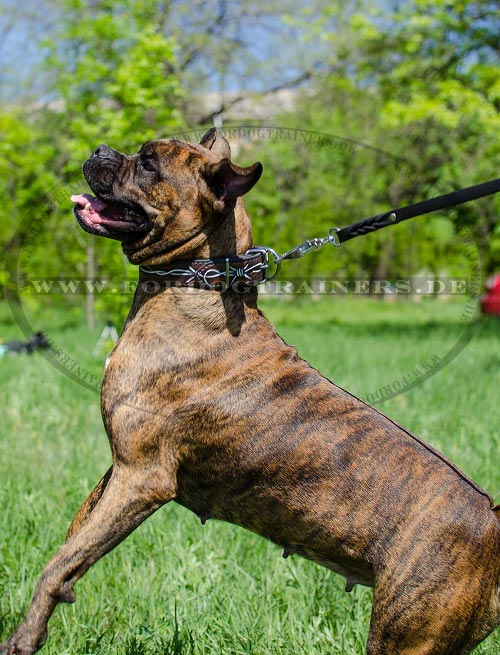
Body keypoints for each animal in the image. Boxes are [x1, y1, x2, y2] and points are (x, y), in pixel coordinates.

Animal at [0, 131, 500, 652]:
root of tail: (493, 527)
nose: (100, 150)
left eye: (149, 164)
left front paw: (23, 638)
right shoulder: (117, 471)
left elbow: (58, 565)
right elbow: (71, 545)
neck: (198, 281)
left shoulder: (141, 477)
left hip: (405, 633)